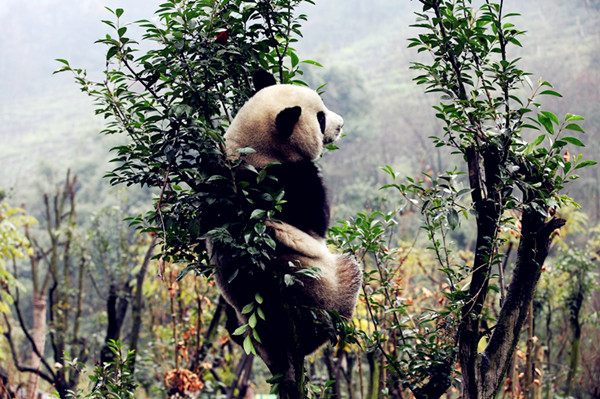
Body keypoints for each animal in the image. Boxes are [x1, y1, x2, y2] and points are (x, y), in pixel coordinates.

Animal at [211, 70, 360, 382]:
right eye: (321, 119)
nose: (340, 124)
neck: (251, 151)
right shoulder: (285, 183)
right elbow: (316, 220)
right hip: (322, 298)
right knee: (350, 271)